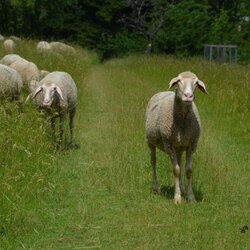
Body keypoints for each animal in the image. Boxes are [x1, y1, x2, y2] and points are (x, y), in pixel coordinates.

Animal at [145, 71, 207, 204]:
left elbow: (188, 170)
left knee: (179, 162)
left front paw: (190, 196)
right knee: (153, 162)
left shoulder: (191, 146)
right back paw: (155, 188)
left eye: (196, 83)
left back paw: (182, 187)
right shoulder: (169, 146)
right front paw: (177, 198)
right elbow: (176, 171)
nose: (188, 96)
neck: (182, 119)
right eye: (179, 81)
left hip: (180, 147)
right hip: (150, 142)